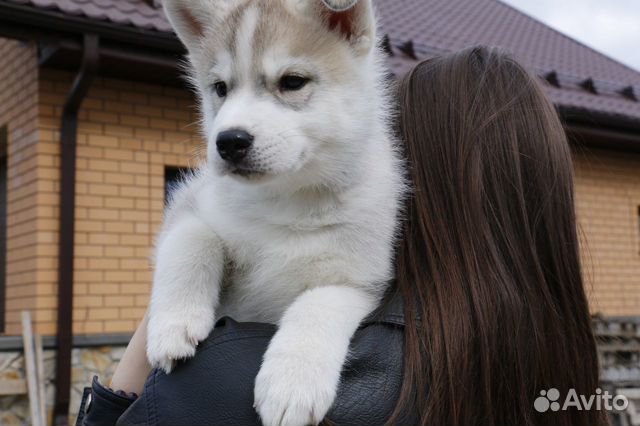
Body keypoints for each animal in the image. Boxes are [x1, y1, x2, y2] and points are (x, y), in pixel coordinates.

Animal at [148, 1, 402, 424]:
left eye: (292, 81)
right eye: (221, 88)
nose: (229, 142)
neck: (287, 200)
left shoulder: (358, 280)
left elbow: (316, 306)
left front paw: (292, 384)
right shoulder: (192, 202)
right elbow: (193, 240)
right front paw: (174, 324)